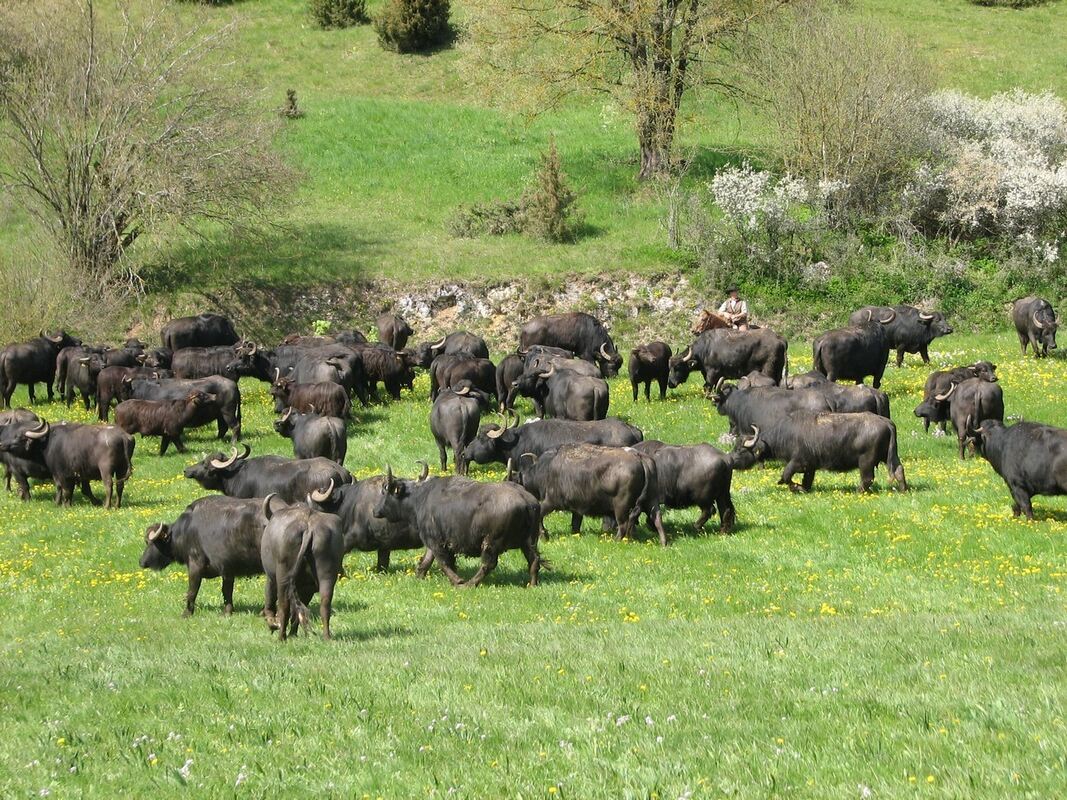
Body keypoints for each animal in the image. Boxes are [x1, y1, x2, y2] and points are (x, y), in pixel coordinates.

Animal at [0, 420, 135, 507]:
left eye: (20, 437)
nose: (2, 444)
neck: (47, 443)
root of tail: (123, 436)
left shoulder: (63, 474)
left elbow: (66, 489)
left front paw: (66, 505)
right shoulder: (72, 474)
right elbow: (67, 488)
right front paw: (59, 503)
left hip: (105, 469)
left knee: (109, 485)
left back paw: (107, 506)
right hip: (122, 468)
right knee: (120, 485)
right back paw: (117, 505)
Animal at [138, 499, 268, 618]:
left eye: (152, 542)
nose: (142, 562)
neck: (185, 531)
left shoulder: (195, 565)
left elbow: (192, 591)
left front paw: (186, 613)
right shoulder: (227, 569)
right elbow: (227, 591)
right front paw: (227, 612)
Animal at [373, 462, 542, 588]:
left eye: (385, 492)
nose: (375, 511)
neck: (420, 498)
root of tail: (526, 501)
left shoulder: (436, 541)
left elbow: (443, 563)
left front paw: (457, 581)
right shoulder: (433, 541)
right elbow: (426, 561)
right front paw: (419, 576)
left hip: (491, 543)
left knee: (488, 564)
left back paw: (470, 584)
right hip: (529, 541)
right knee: (534, 560)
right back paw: (532, 584)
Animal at [738, 413, 904, 494]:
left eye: (740, 449)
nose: (733, 462)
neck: (785, 434)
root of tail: (886, 422)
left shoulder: (798, 461)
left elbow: (785, 476)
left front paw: (795, 487)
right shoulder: (810, 467)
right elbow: (806, 481)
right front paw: (801, 488)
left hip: (866, 461)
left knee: (867, 479)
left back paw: (858, 491)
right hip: (890, 456)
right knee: (898, 470)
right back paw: (903, 489)